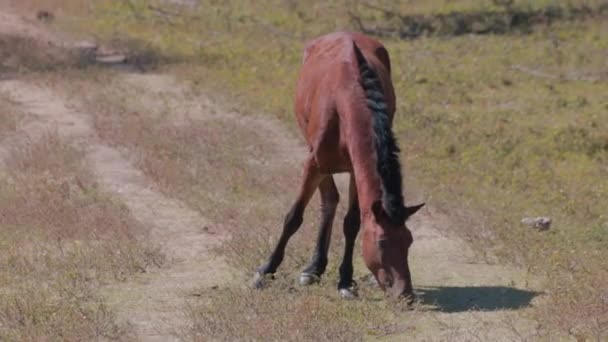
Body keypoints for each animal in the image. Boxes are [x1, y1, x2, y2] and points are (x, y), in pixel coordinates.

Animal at [251, 32, 422, 300]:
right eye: (382, 243)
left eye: (409, 241)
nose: (405, 293)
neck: (346, 101)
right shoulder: (313, 163)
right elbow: (294, 217)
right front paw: (266, 270)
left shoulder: (355, 168)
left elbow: (352, 223)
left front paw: (345, 280)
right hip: (317, 156)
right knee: (328, 199)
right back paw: (312, 269)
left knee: (332, 200)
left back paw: (316, 268)